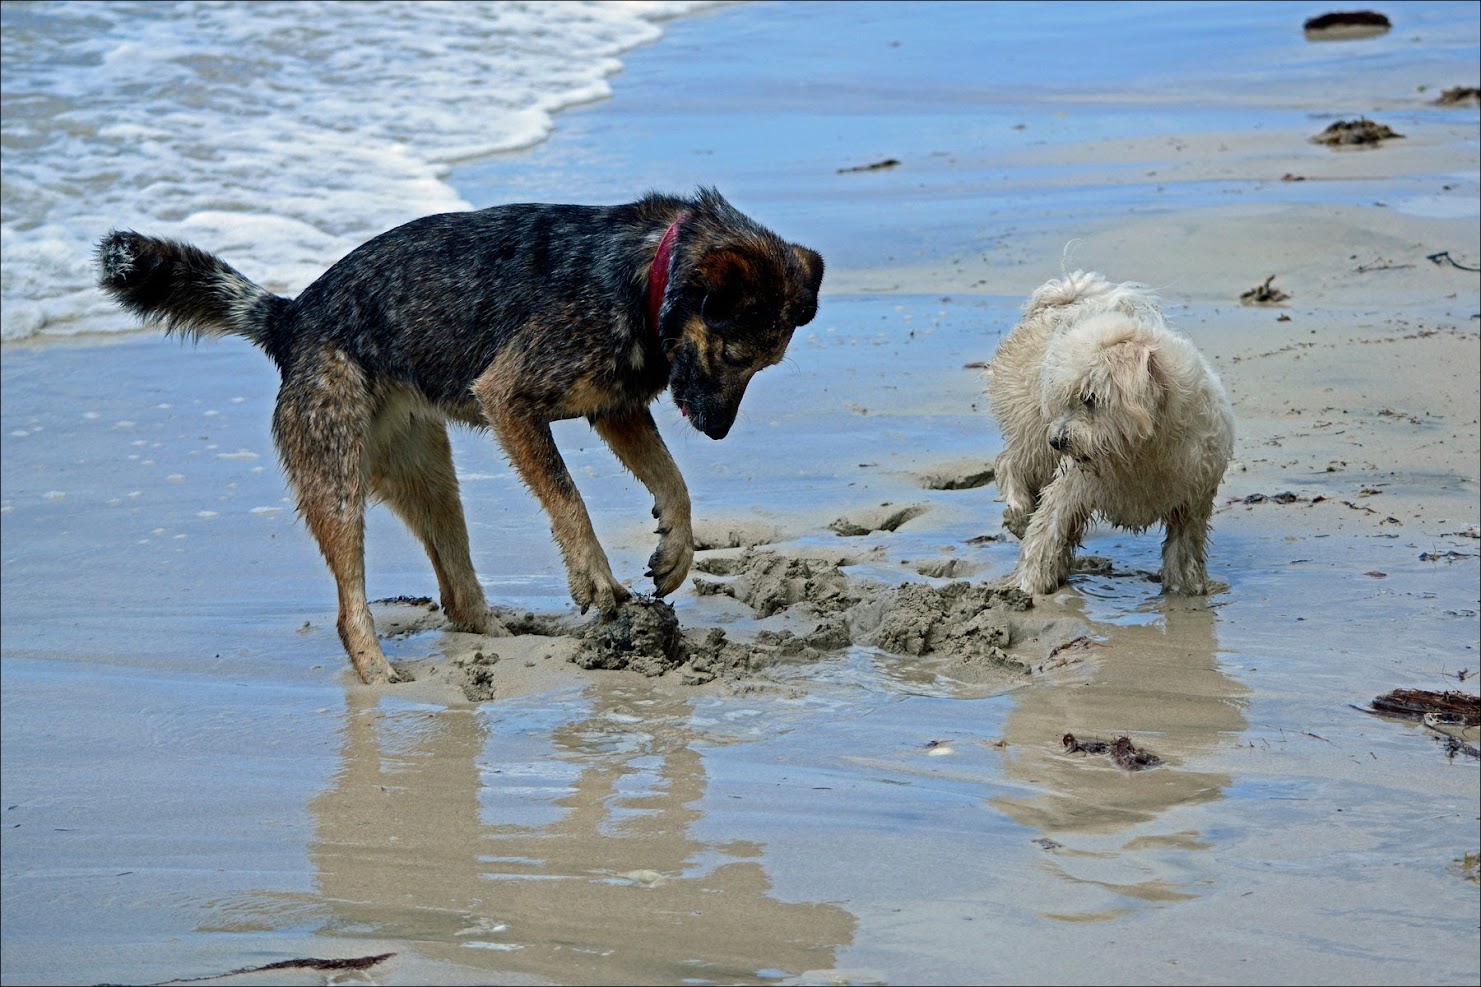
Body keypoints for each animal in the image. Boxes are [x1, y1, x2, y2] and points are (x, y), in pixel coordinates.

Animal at [98, 189, 829, 684]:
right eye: (736, 356)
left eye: (762, 366)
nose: (716, 431)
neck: (648, 274)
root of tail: (289, 316)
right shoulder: (510, 399)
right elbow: (569, 501)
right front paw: (592, 573)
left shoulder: (617, 411)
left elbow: (673, 481)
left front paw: (677, 547)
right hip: (339, 484)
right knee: (350, 605)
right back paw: (379, 675)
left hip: (431, 478)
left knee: (456, 592)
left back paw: (506, 637)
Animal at [983, 269, 1238, 592]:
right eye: (1065, 398)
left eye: (1090, 398)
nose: (1058, 440)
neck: (1140, 449)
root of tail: (1058, 303)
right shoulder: (1070, 487)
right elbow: (1046, 532)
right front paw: (1030, 587)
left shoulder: (1192, 500)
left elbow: (1184, 550)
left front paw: (1187, 590)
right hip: (1033, 437)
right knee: (1010, 463)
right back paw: (1018, 512)